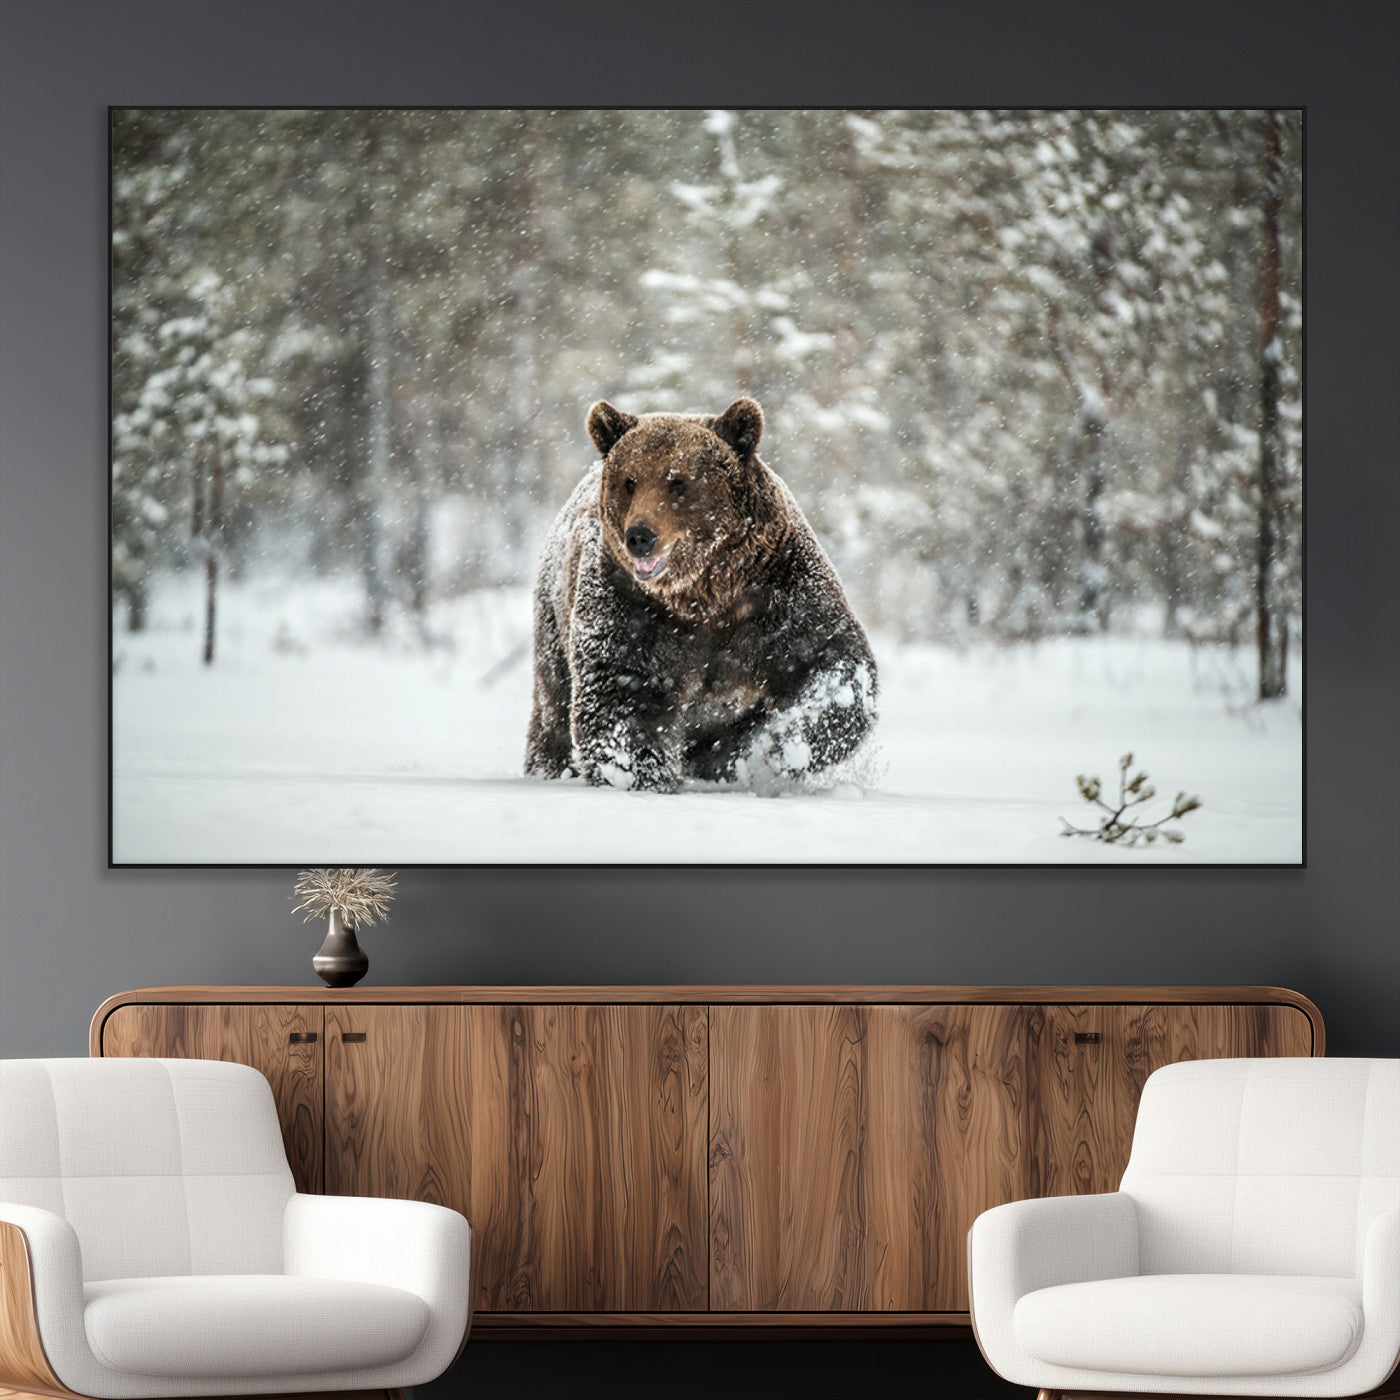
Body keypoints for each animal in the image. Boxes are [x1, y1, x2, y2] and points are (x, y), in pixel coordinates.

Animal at [524, 397, 877, 794]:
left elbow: (831, 662)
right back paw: (552, 766)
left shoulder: (778, 593)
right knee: (553, 702)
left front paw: (783, 747)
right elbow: (623, 693)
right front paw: (641, 777)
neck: (704, 592)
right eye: (630, 481)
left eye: (678, 482)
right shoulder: (631, 607)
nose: (640, 536)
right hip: (554, 617)